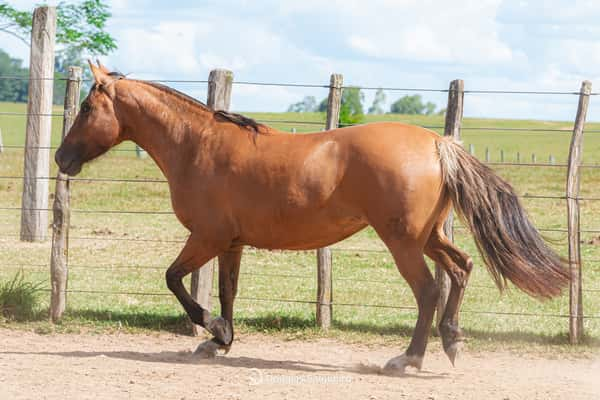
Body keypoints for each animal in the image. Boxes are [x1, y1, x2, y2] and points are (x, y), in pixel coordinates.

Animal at [55, 61, 568, 374]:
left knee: (428, 290)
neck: (197, 145)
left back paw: (407, 359)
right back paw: (452, 341)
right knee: (461, 269)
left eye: (87, 107)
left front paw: (213, 330)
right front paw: (221, 340)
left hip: (403, 241)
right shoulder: (231, 243)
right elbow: (226, 291)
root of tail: (437, 143)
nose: (61, 158)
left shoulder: (206, 237)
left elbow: (174, 280)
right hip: (429, 236)